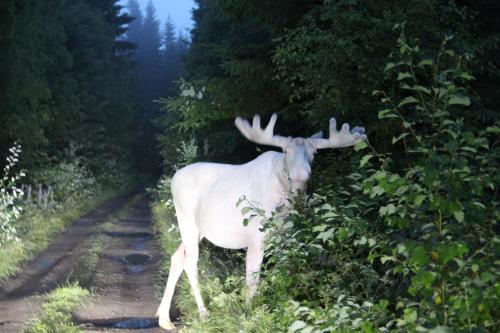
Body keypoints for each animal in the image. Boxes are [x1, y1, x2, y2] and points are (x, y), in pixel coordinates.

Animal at [156, 113, 368, 328]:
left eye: (314, 152)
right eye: (285, 151)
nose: (301, 177)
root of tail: (173, 179)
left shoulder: (285, 235)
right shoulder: (257, 235)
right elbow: (252, 279)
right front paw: (248, 314)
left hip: (199, 230)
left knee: (177, 257)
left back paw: (164, 318)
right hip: (186, 221)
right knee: (190, 262)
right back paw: (203, 313)